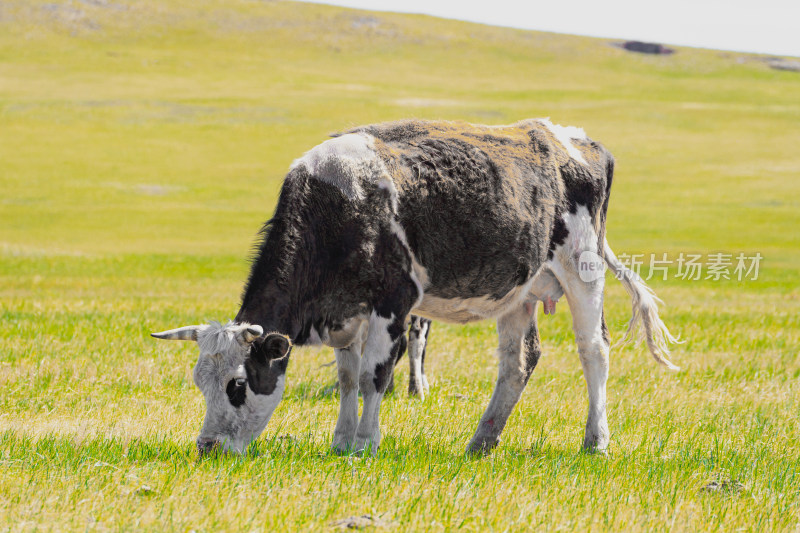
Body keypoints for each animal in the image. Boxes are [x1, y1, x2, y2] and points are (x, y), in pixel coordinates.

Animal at [153, 118, 680, 456]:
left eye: (238, 384)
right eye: (200, 382)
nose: (207, 447)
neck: (339, 202)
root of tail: (573, 139)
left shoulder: (393, 302)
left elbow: (373, 376)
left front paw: (364, 445)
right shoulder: (346, 312)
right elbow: (348, 378)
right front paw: (340, 440)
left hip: (582, 268)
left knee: (594, 351)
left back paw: (596, 441)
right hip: (519, 291)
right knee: (518, 362)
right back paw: (481, 441)